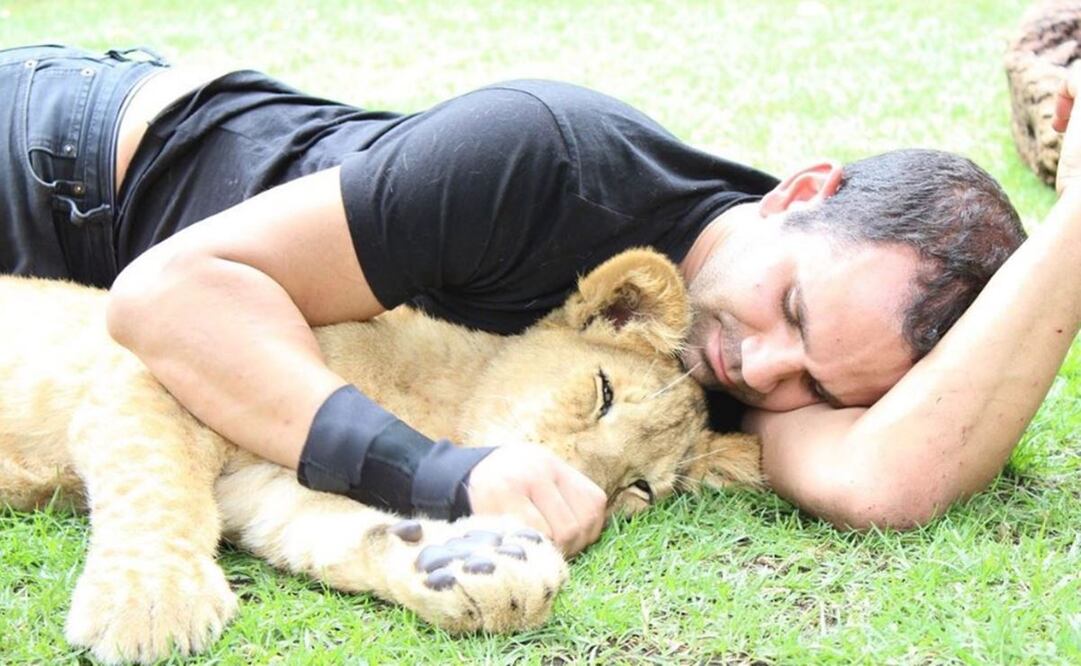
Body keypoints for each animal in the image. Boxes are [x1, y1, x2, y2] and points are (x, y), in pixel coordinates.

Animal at [0, 247, 762, 664]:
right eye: (602, 394)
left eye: (639, 489)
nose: (581, 494)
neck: (438, 406)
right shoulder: (152, 367)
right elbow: (153, 482)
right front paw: (149, 604)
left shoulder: (256, 481)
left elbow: (329, 527)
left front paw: (469, 565)